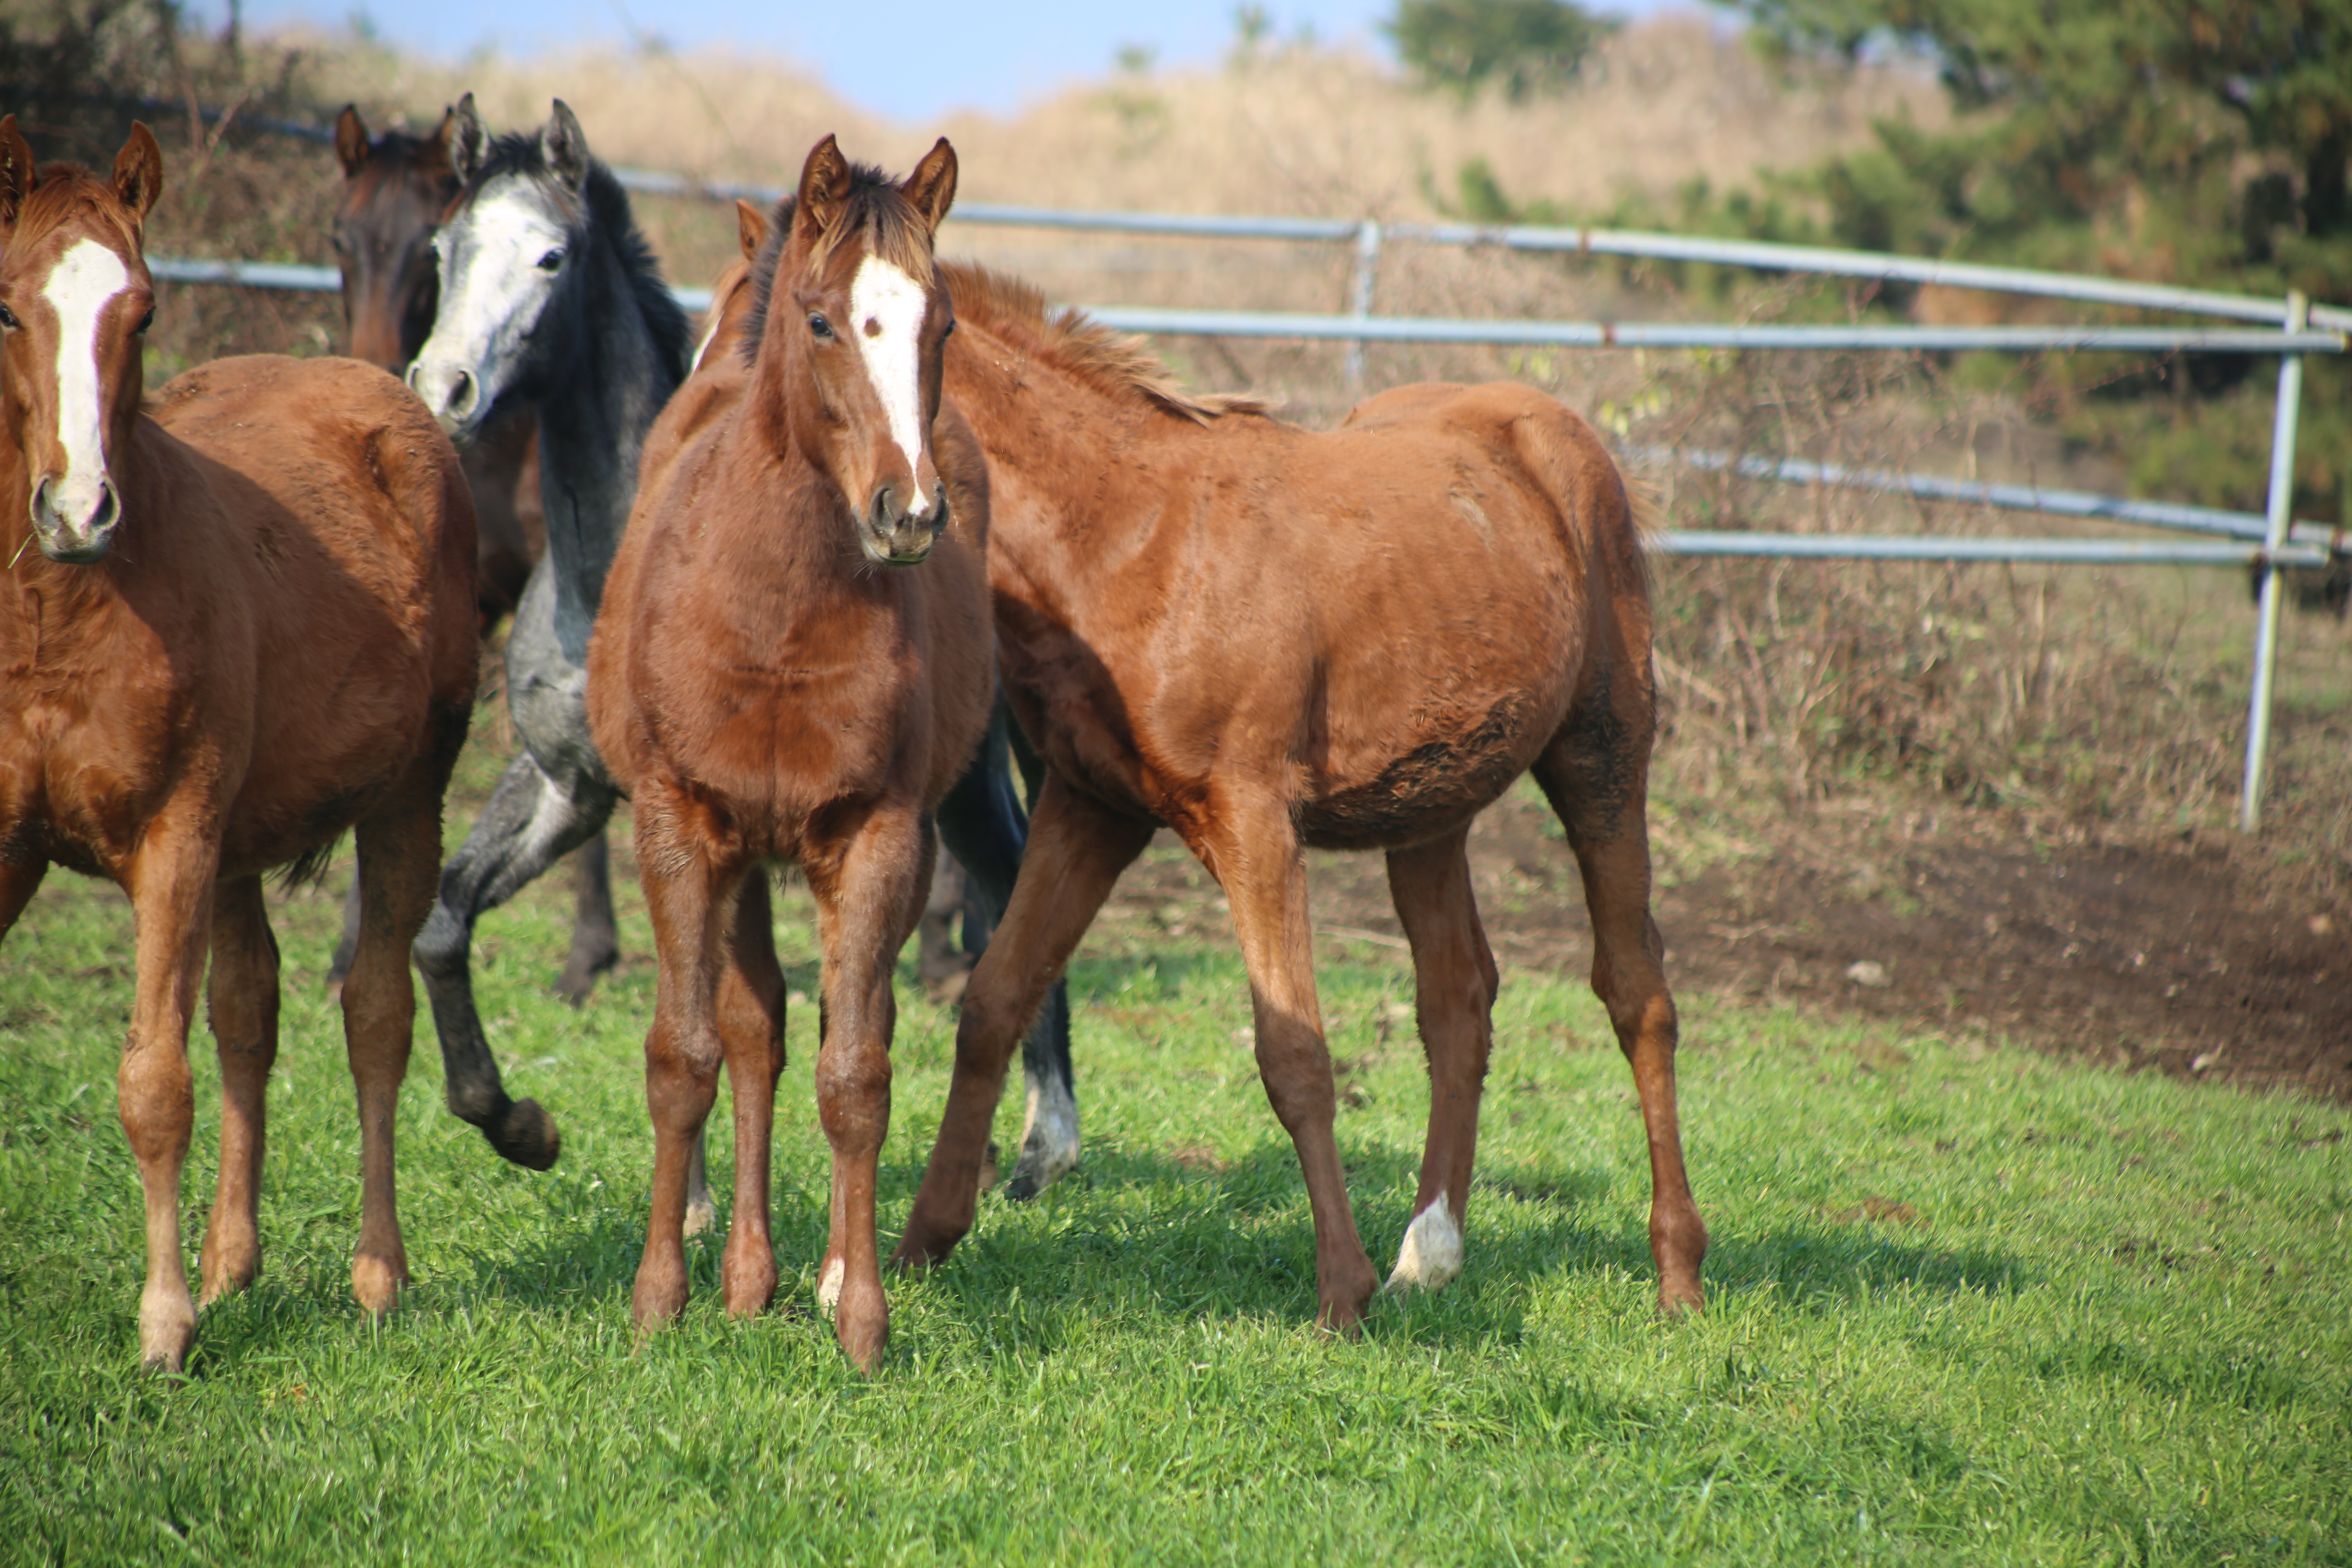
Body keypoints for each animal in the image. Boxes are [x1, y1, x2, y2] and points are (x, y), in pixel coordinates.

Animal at [0, 120, 477, 1373]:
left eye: (143, 311)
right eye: (8, 310)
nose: (77, 509)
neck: (62, 613)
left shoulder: (173, 837)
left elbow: (154, 1081)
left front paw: (163, 1326)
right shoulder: (10, 849)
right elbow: (219, 1035)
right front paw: (196, 1290)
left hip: (400, 801)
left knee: (375, 1015)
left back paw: (376, 1275)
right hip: (242, 838)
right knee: (249, 1014)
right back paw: (233, 1264)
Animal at [597, 138, 992, 1373]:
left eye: (941, 324)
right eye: (823, 322)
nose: (908, 511)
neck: (771, 609)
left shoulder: (875, 836)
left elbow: (855, 1071)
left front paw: (859, 1315)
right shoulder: (682, 824)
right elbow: (685, 1056)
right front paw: (658, 1300)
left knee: (819, 1030)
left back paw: (798, 1275)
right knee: (753, 1028)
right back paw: (743, 1276)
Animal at [884, 263, 1712, 1335]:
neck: (1132, 538)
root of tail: (1560, 434)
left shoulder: (1253, 826)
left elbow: (1294, 1052)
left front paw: (1337, 1296)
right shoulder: (1090, 808)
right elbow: (994, 999)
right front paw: (917, 1246)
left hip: (1603, 760)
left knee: (1634, 993)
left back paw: (1676, 1272)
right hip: (1429, 809)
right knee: (1457, 999)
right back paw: (1428, 1254)